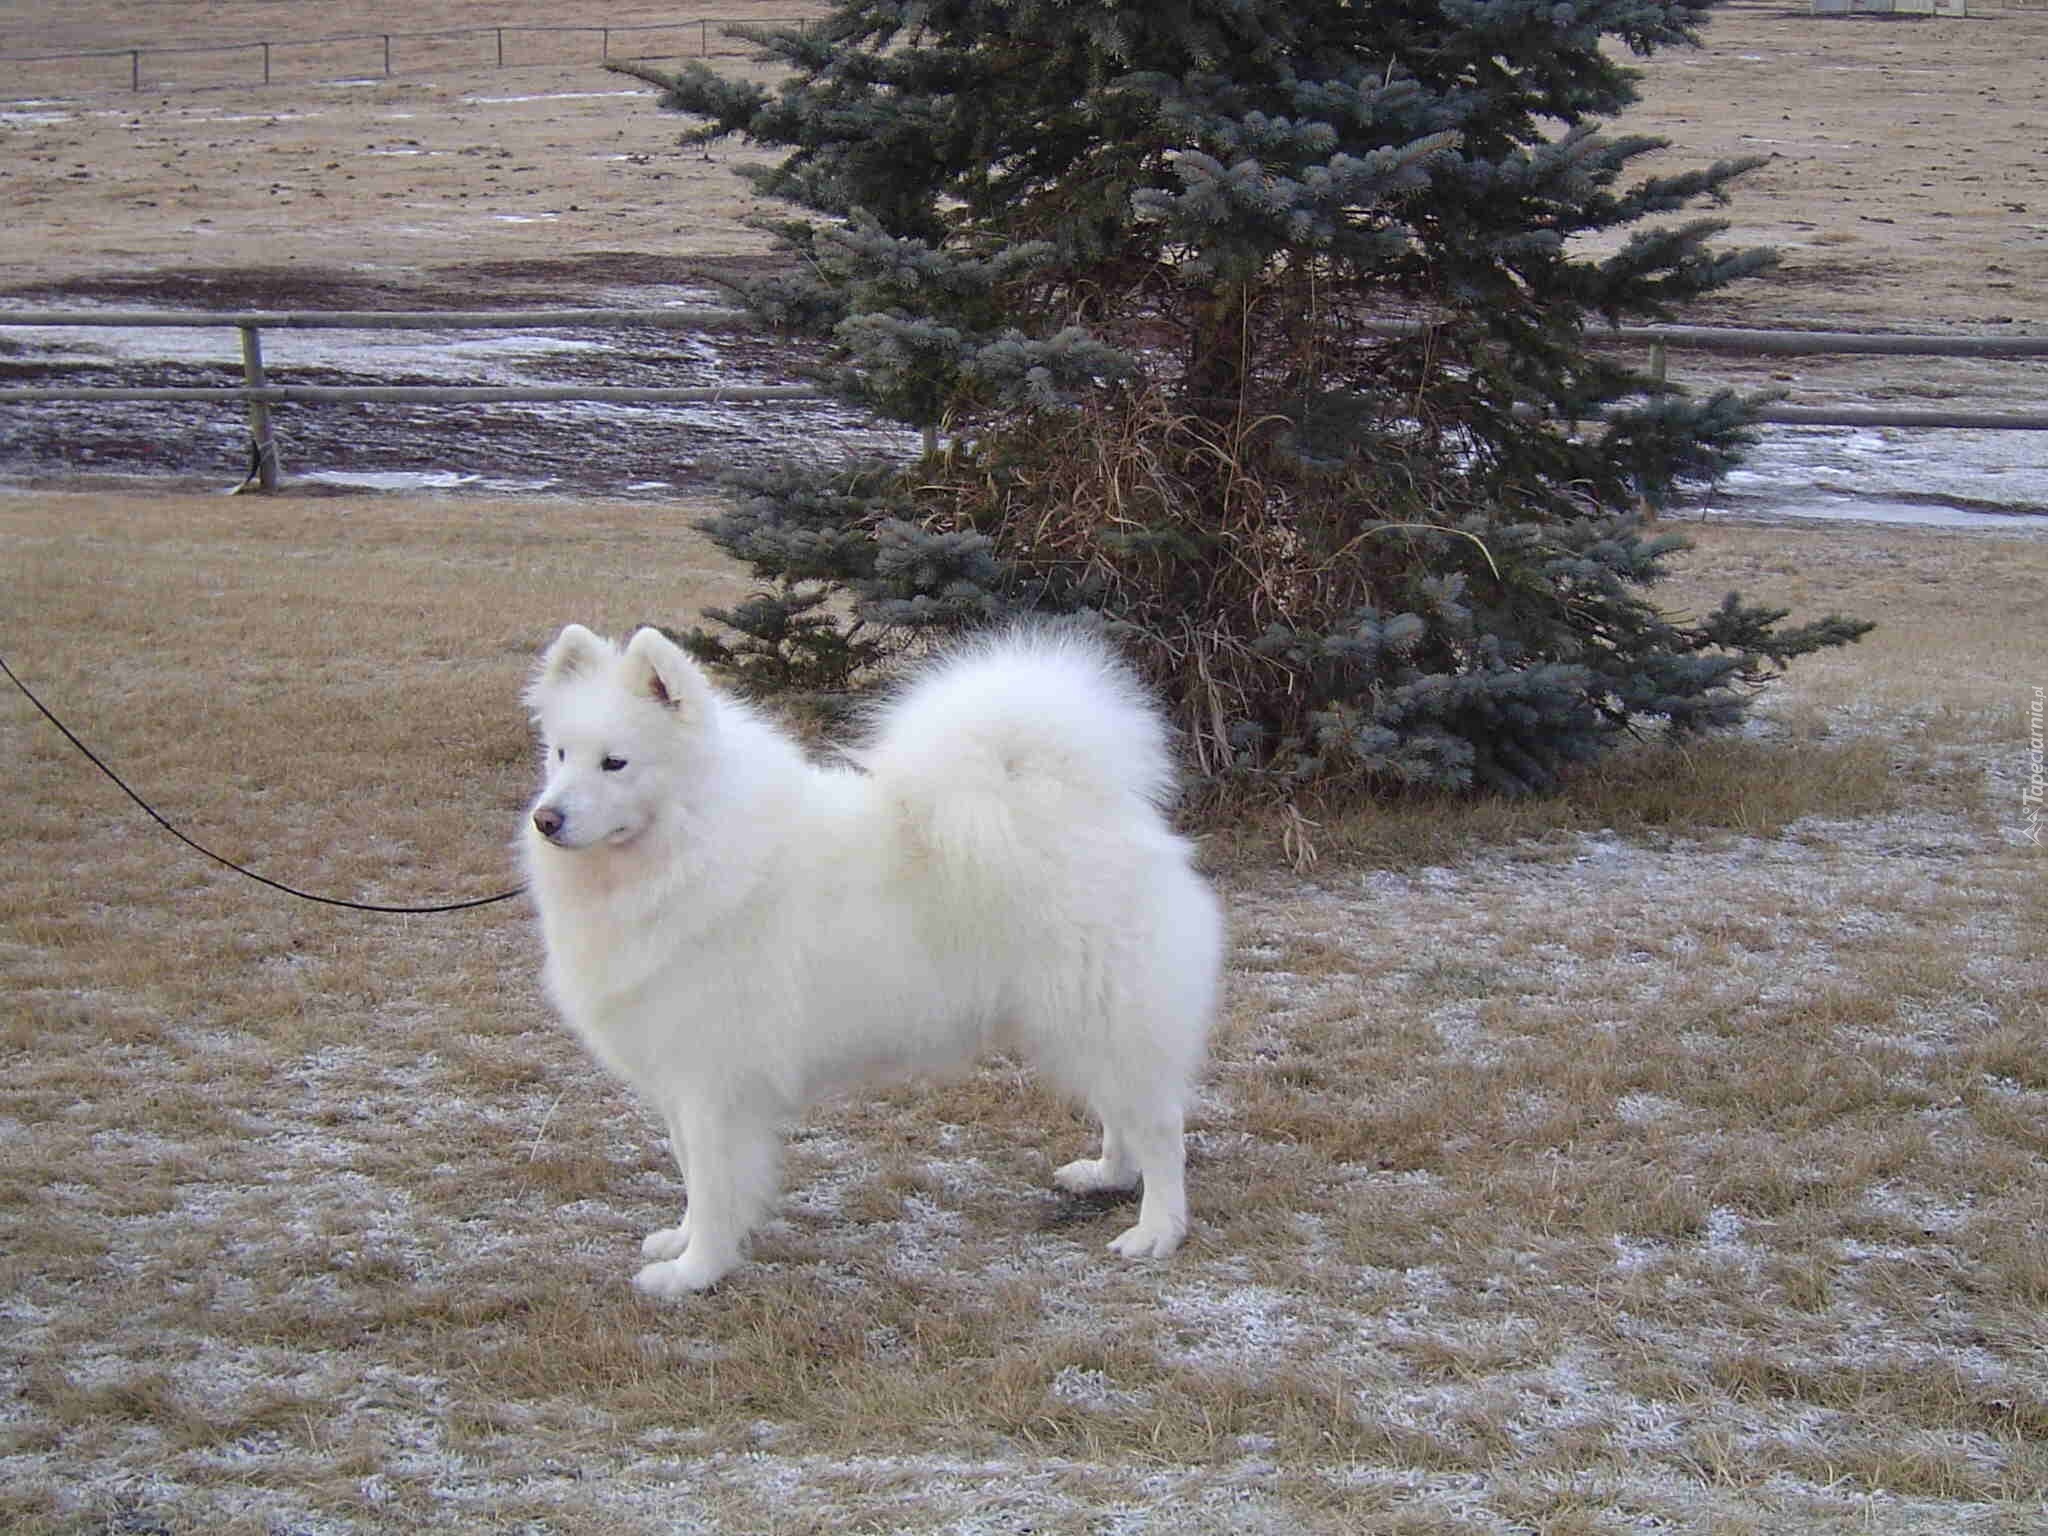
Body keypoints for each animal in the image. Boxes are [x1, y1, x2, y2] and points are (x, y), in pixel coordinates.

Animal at [524, 626, 1212, 1302]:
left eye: (615, 763)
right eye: (559, 754)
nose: (545, 819)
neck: (685, 852)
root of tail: (1098, 808)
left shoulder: (714, 1082)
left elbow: (715, 1186)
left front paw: (695, 1272)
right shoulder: (677, 1076)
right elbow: (690, 1172)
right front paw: (680, 1241)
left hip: (1105, 1017)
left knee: (1160, 1129)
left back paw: (1156, 1231)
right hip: (1075, 1025)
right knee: (1120, 1113)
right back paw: (1105, 1174)